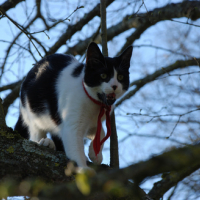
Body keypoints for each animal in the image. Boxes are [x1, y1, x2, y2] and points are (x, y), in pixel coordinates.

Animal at [14, 42, 133, 172]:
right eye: (103, 75)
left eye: (120, 77)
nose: (115, 86)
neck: (96, 105)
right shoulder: (72, 125)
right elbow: (75, 147)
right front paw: (83, 169)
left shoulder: (92, 122)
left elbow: (101, 131)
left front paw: (95, 153)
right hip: (32, 112)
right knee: (35, 134)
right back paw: (45, 142)